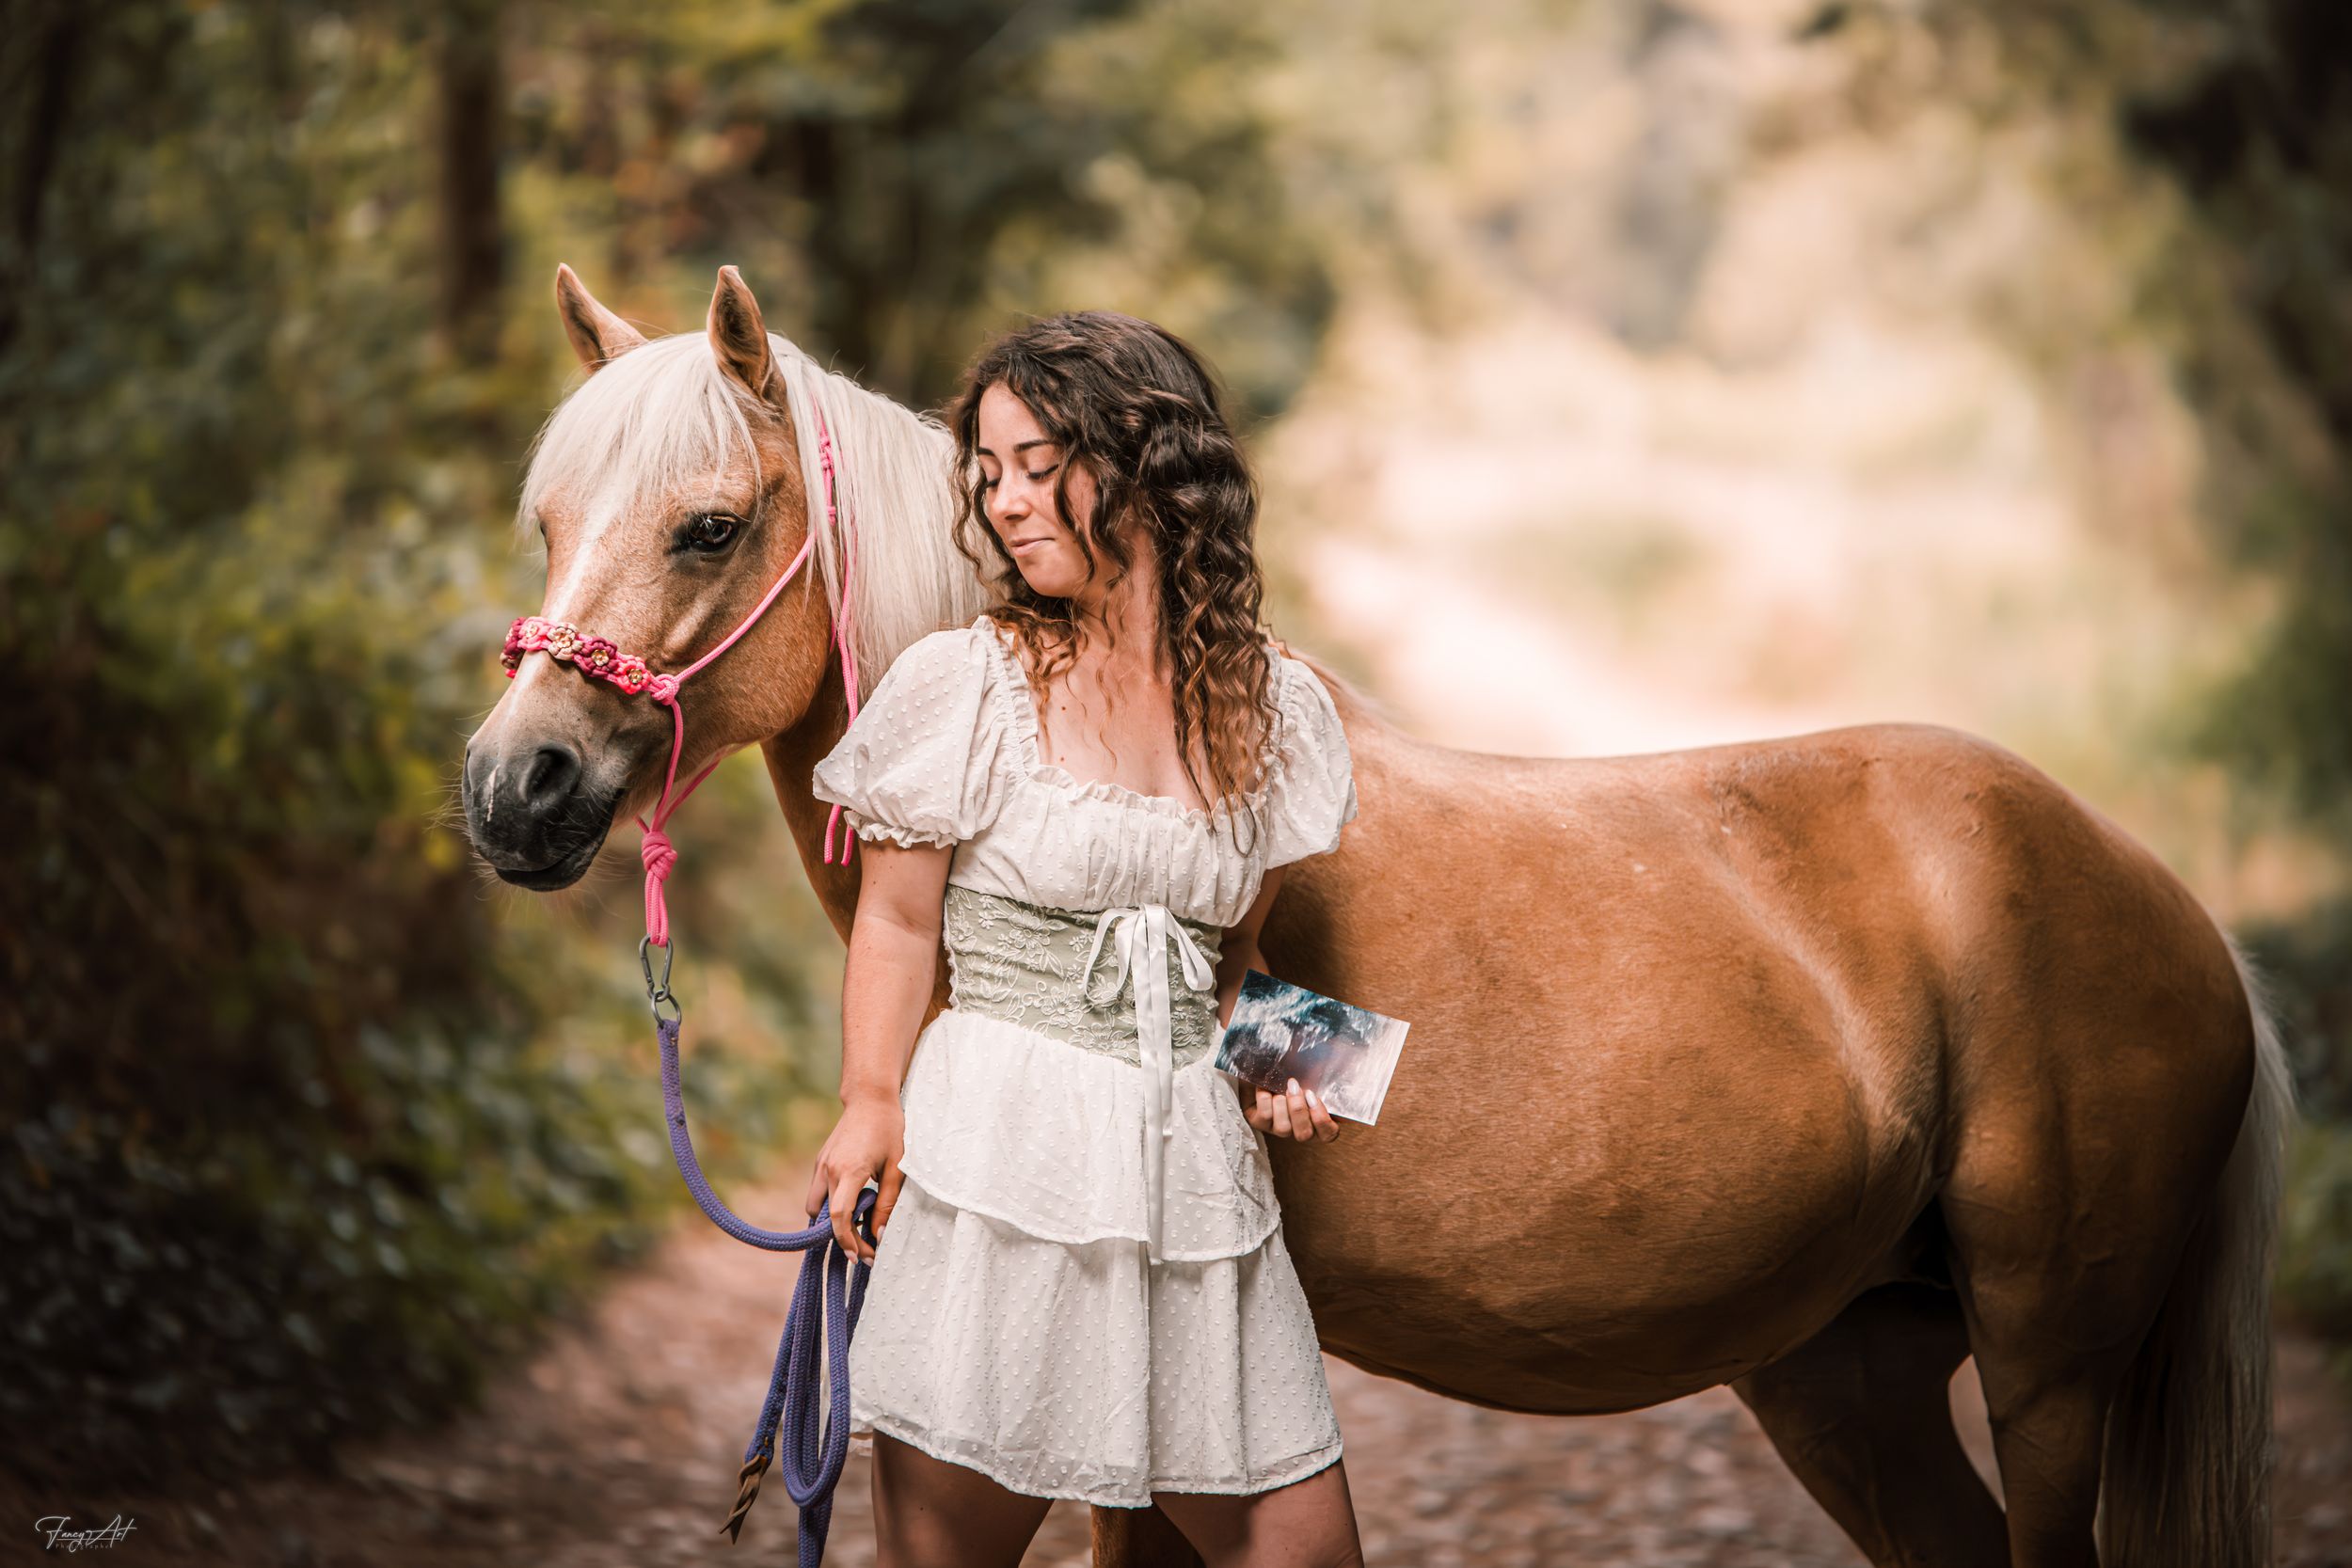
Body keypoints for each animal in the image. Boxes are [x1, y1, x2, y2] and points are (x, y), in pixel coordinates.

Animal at [460, 264, 2293, 1568]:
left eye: (710, 523)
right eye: (547, 522)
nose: (513, 789)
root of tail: (2175, 909)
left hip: (2046, 1369)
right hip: (1849, 1369)